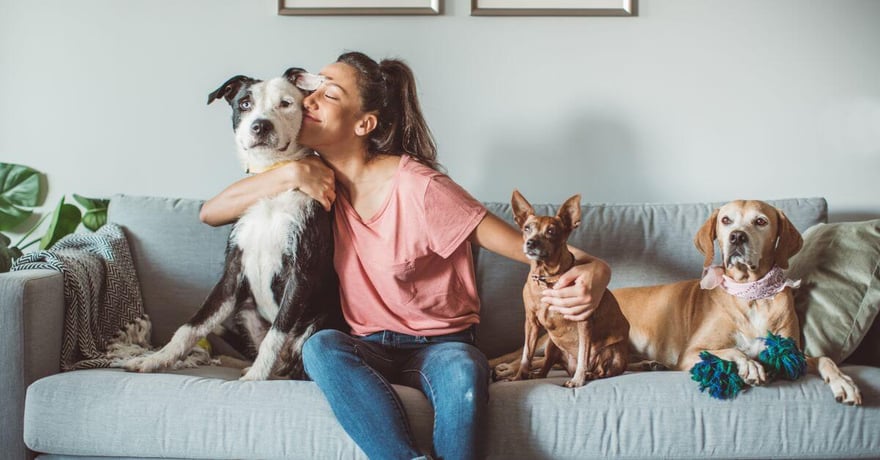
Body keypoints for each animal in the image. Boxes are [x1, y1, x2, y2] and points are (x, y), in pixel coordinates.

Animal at [124, 66, 344, 380]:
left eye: (286, 103)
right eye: (244, 103)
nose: (260, 126)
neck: (271, 181)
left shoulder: (301, 272)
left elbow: (276, 333)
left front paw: (256, 377)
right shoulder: (232, 271)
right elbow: (191, 325)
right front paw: (156, 359)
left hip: (316, 323)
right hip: (244, 310)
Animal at [502, 190, 624, 388]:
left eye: (551, 231)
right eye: (527, 228)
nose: (531, 243)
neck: (546, 277)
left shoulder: (583, 321)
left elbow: (583, 354)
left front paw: (578, 380)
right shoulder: (531, 323)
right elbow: (526, 355)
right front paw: (519, 377)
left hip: (611, 350)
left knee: (601, 370)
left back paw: (588, 374)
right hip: (552, 344)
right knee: (545, 368)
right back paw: (536, 375)